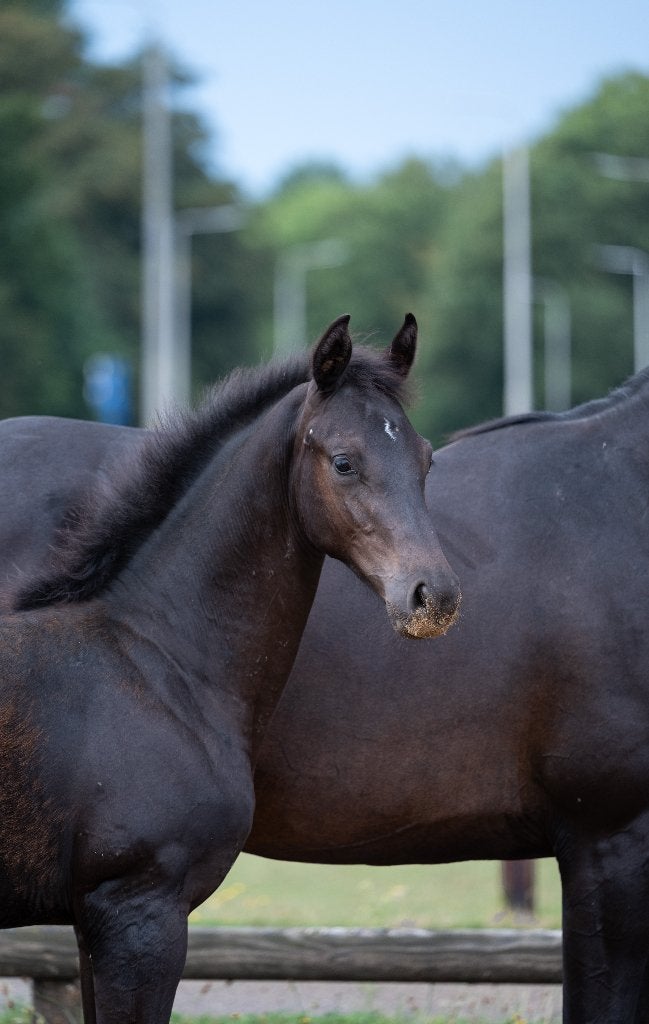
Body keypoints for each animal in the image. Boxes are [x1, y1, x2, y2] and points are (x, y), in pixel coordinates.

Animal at [0, 313, 461, 1024]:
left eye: (426, 457)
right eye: (344, 461)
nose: (432, 596)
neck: (157, 663)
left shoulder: (89, 924)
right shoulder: (140, 912)